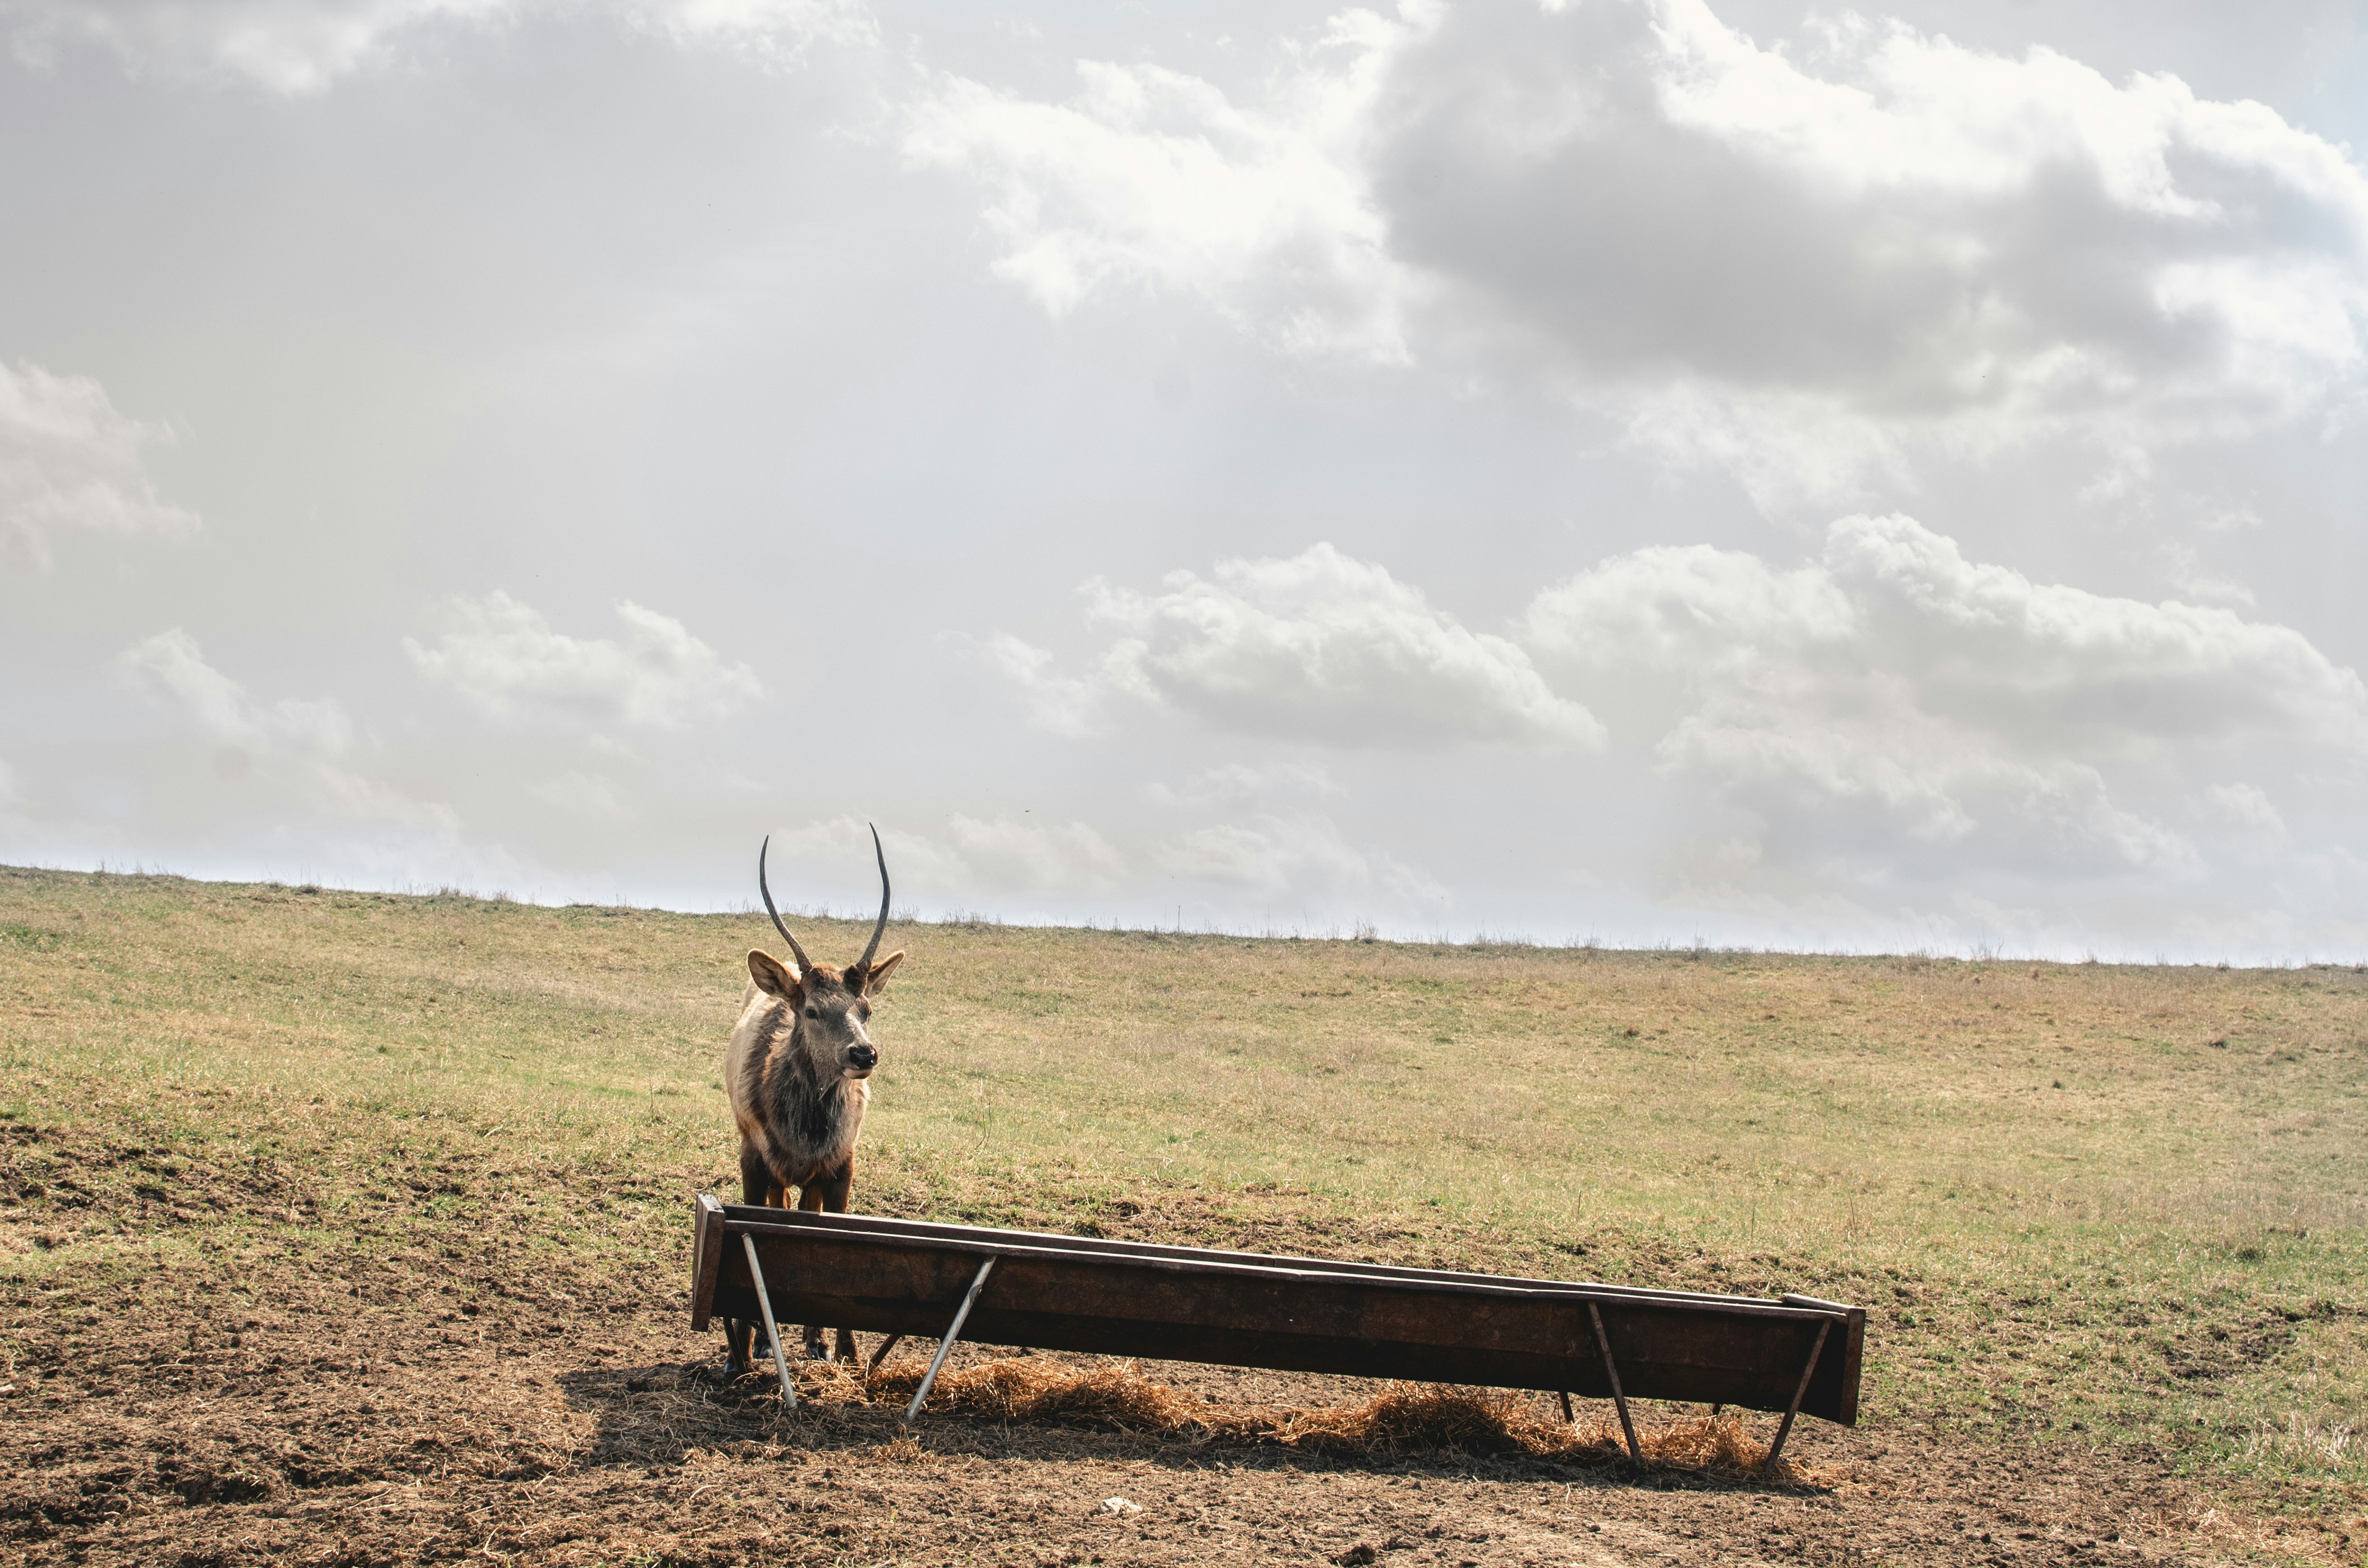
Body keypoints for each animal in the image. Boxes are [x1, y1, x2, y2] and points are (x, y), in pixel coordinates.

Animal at [721, 826, 904, 1374]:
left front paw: (842, 1349)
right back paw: (765, 1339)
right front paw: (741, 1350)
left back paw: (812, 1338)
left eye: (866, 1008)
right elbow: (758, 1234)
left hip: (813, 1176)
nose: (863, 1053)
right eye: (811, 1010)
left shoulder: (843, 1160)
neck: (800, 1131)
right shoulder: (751, 1153)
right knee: (782, 1209)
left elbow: (831, 1237)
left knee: (805, 1213)